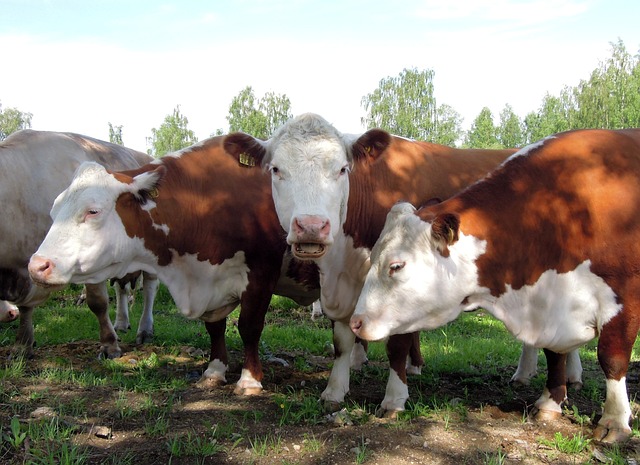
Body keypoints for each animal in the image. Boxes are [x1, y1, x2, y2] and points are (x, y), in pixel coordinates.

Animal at [0, 129, 158, 358]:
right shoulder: (30, 268)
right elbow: (25, 307)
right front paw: (22, 345)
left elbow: (98, 302)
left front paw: (109, 345)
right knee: (121, 287)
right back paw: (121, 323)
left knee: (149, 288)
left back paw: (145, 330)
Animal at [28, 134, 320, 392]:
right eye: (54, 210)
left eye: (93, 211)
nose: (37, 265)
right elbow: (215, 327)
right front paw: (214, 371)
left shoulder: (261, 274)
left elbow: (249, 327)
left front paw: (249, 380)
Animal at [224, 112, 580, 414]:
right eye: (276, 169)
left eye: (341, 169)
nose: (311, 226)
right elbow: (342, 341)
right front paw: (334, 390)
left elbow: (397, 344)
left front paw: (394, 399)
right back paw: (531, 374)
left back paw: (557, 389)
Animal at [352, 128, 640, 442]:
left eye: (396, 266)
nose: (356, 322)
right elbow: (554, 353)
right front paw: (550, 403)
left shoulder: (625, 298)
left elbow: (611, 357)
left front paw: (614, 420)